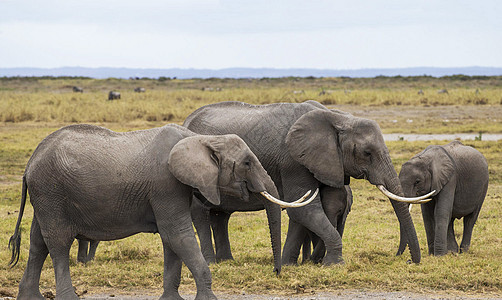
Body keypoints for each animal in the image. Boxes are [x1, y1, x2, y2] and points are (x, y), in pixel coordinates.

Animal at [6, 123, 310, 300]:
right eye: (247, 163)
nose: (276, 271)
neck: (201, 139)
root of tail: (29, 163)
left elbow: (171, 240)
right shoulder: (166, 184)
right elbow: (178, 235)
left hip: (46, 197)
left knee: (38, 242)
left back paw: (30, 298)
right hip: (51, 191)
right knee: (58, 243)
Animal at [184, 101, 432, 264]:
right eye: (367, 153)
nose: (409, 261)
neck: (337, 118)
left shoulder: (328, 162)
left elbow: (311, 208)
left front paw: (289, 264)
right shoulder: (293, 161)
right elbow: (305, 209)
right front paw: (334, 264)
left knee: (220, 216)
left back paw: (227, 261)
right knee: (200, 212)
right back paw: (211, 263)